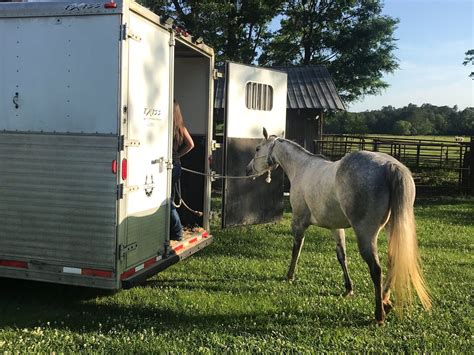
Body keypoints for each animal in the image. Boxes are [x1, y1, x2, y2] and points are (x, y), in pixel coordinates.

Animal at [246, 129, 432, 326]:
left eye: (257, 148)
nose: (247, 170)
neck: (302, 168)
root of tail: (391, 166)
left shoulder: (299, 223)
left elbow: (296, 249)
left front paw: (290, 276)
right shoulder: (335, 228)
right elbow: (342, 256)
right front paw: (348, 288)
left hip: (366, 234)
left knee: (376, 269)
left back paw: (379, 314)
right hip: (392, 229)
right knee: (393, 261)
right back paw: (385, 300)